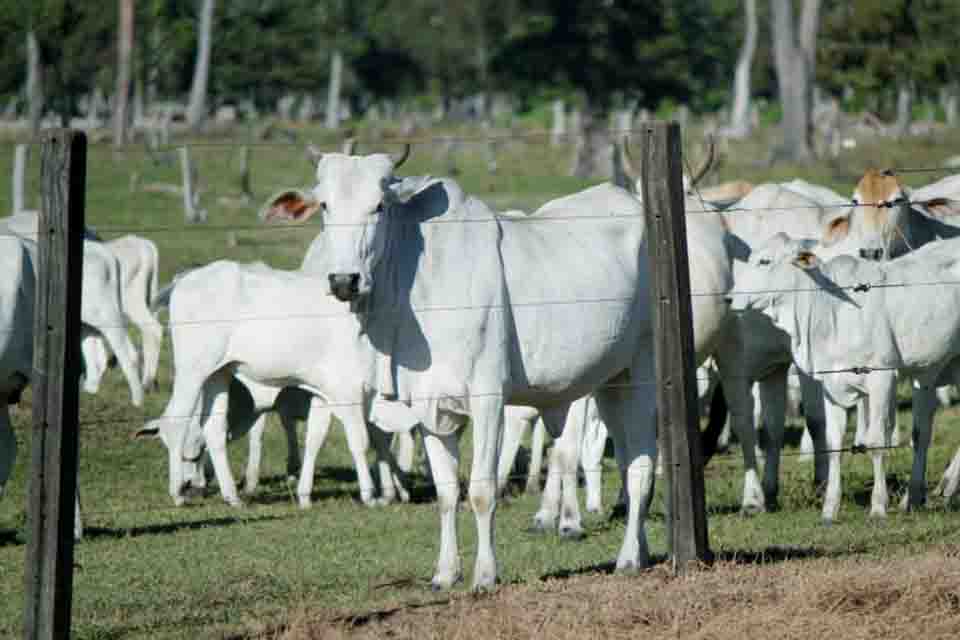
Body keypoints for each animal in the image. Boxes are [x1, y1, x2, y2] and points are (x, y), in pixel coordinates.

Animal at [732, 232, 960, 524]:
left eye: (765, 261)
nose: (729, 299)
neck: (831, 311)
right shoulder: (831, 385)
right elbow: (834, 443)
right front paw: (829, 509)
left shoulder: (882, 378)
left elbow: (876, 442)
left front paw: (878, 507)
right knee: (922, 432)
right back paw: (918, 496)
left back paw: (943, 487)